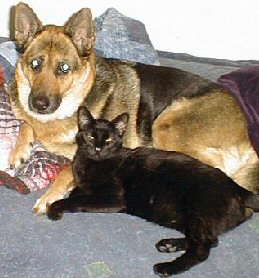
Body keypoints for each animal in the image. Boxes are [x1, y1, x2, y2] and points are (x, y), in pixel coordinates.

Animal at [8, 2, 259, 215]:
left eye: (64, 68)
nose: (39, 104)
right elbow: (25, 122)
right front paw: (19, 149)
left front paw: (49, 196)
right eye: (35, 64)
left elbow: (67, 169)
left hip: (166, 125)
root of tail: (247, 136)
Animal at [47, 106, 259, 276]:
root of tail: (237, 188)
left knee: (202, 248)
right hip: (180, 217)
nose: (98, 148)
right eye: (91, 136)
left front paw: (54, 209)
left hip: (194, 211)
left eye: (108, 140)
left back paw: (167, 267)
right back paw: (169, 245)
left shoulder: (114, 198)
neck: (92, 163)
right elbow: (77, 191)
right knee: (210, 240)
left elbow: (76, 200)